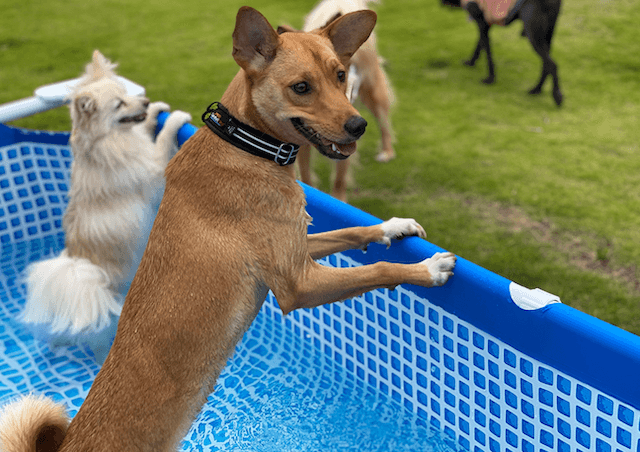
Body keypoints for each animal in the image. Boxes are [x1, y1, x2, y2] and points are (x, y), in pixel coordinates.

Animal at [20, 50, 192, 360]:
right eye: (119, 104)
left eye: (128, 94)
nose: (145, 102)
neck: (107, 141)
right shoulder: (154, 171)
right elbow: (162, 141)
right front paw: (175, 118)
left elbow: (147, 129)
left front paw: (155, 112)